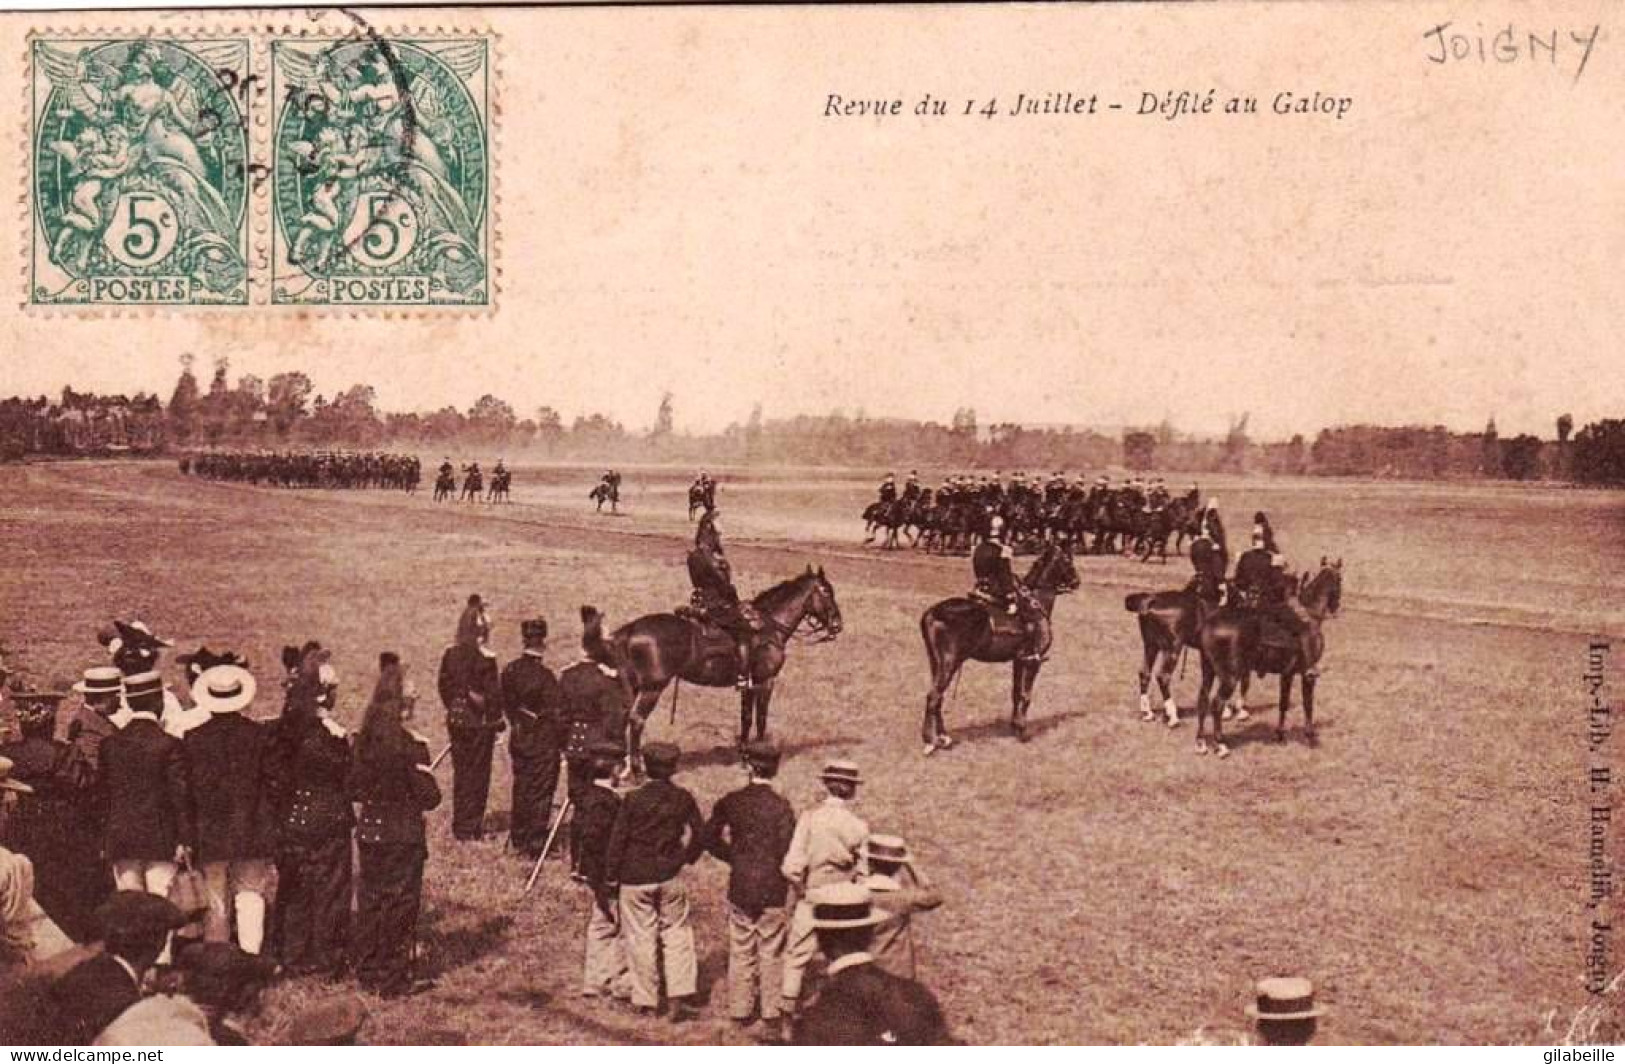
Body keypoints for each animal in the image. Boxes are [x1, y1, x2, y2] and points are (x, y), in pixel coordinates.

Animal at [594, 565, 838, 773]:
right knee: (636, 721)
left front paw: (745, 757)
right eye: (827, 591)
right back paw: (636, 770)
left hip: (635, 686)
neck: (769, 629)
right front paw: (759, 757)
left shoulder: (748, 684)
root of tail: (632, 629)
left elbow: (746, 718)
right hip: (652, 688)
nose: (837, 625)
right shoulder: (766, 681)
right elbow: (761, 719)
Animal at [916, 542, 1079, 756]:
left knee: (938, 697)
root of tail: (931, 613)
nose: (1077, 581)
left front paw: (1015, 727)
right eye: (1067, 560)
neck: (1036, 604)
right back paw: (931, 741)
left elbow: (1016, 693)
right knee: (933, 696)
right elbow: (1026, 695)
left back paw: (944, 738)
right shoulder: (1033, 662)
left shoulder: (1019, 660)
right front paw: (1023, 731)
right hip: (950, 662)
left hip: (937, 662)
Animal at [1196, 558, 1345, 756]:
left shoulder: (1287, 674)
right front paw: (1310, 736)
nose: (1336, 607)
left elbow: (1283, 703)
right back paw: (1220, 744)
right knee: (1217, 704)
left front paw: (1280, 735)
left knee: (1203, 700)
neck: (1309, 615)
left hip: (1208, 671)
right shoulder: (1307, 676)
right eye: (1340, 580)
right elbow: (1308, 704)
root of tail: (1208, 624)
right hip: (1230, 677)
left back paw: (1200, 742)